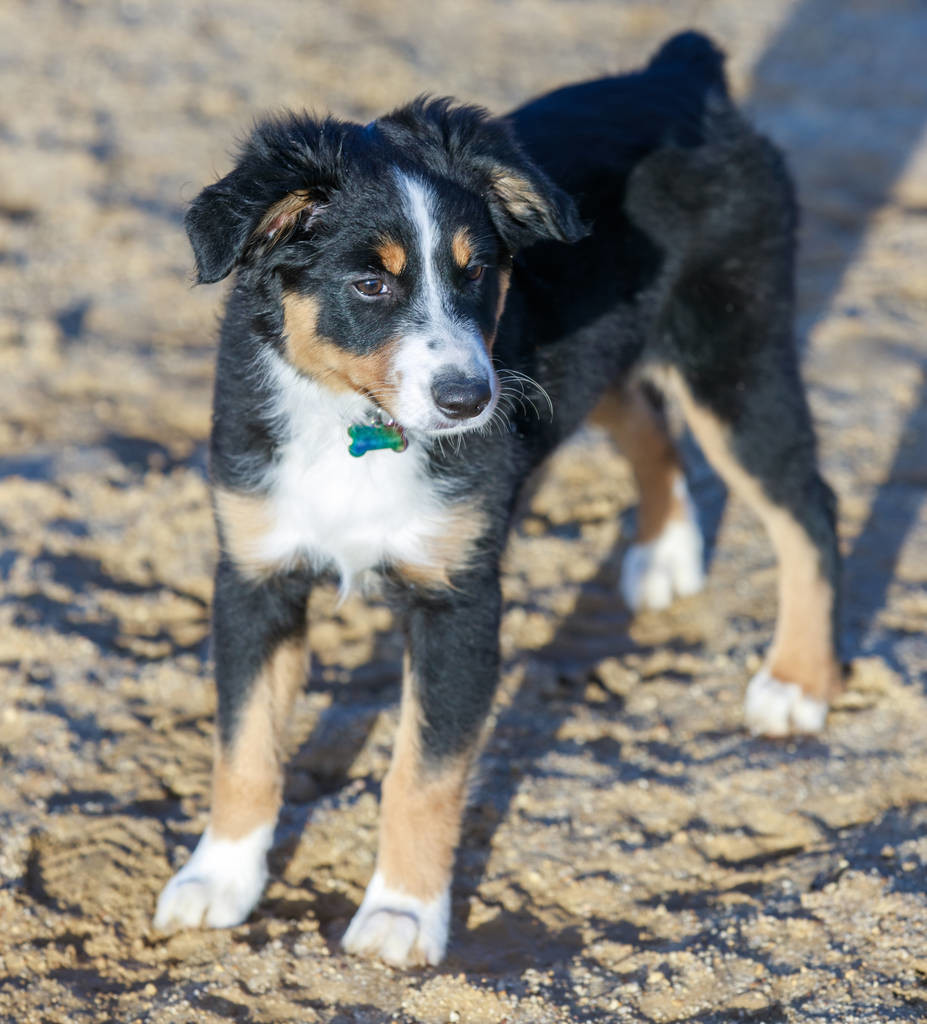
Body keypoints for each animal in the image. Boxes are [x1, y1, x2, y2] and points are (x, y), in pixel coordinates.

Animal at [155, 29, 844, 958]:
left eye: (476, 273)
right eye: (370, 284)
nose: (467, 400)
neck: (356, 427)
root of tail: (677, 73)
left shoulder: (461, 601)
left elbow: (420, 774)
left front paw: (401, 915)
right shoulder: (255, 576)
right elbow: (245, 746)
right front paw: (218, 879)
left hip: (730, 358)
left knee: (806, 507)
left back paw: (796, 683)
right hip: (597, 353)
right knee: (643, 417)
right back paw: (664, 553)